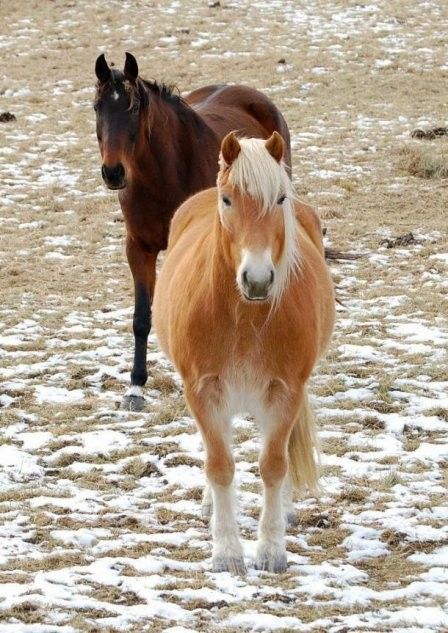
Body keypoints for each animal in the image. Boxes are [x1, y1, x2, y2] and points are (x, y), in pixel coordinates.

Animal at [93, 53, 290, 410]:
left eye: (133, 108)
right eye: (97, 106)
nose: (113, 172)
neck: (162, 175)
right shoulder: (138, 248)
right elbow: (142, 318)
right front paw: (135, 387)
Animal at [152, 131, 334, 572]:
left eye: (280, 199)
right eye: (228, 199)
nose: (257, 279)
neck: (244, 318)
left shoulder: (286, 391)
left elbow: (274, 465)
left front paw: (271, 550)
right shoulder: (203, 390)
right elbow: (220, 465)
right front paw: (227, 553)